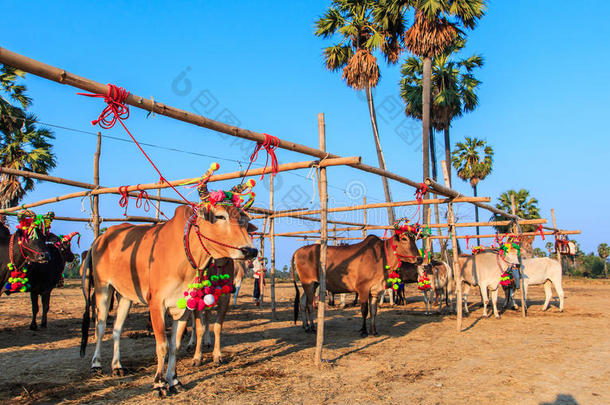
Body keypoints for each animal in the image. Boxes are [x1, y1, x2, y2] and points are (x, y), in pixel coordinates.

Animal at [79, 199, 255, 394]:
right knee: (100, 326)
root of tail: (101, 238)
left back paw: (117, 366)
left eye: (244, 221)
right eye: (220, 216)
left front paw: (174, 380)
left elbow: (175, 346)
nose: (251, 251)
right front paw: (159, 383)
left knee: (117, 329)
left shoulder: (184, 307)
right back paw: (96, 364)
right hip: (103, 287)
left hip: (124, 296)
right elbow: (162, 345)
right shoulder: (157, 304)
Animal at [292, 232, 420, 336]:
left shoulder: (375, 290)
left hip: (314, 284)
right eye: (404, 239)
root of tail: (298, 251)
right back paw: (312, 327)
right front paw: (363, 331)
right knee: (309, 305)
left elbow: (373, 311)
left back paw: (306, 326)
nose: (419, 258)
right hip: (308, 283)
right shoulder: (363, 288)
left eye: (415, 239)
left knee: (302, 302)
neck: (382, 257)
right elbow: (364, 310)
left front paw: (373, 331)